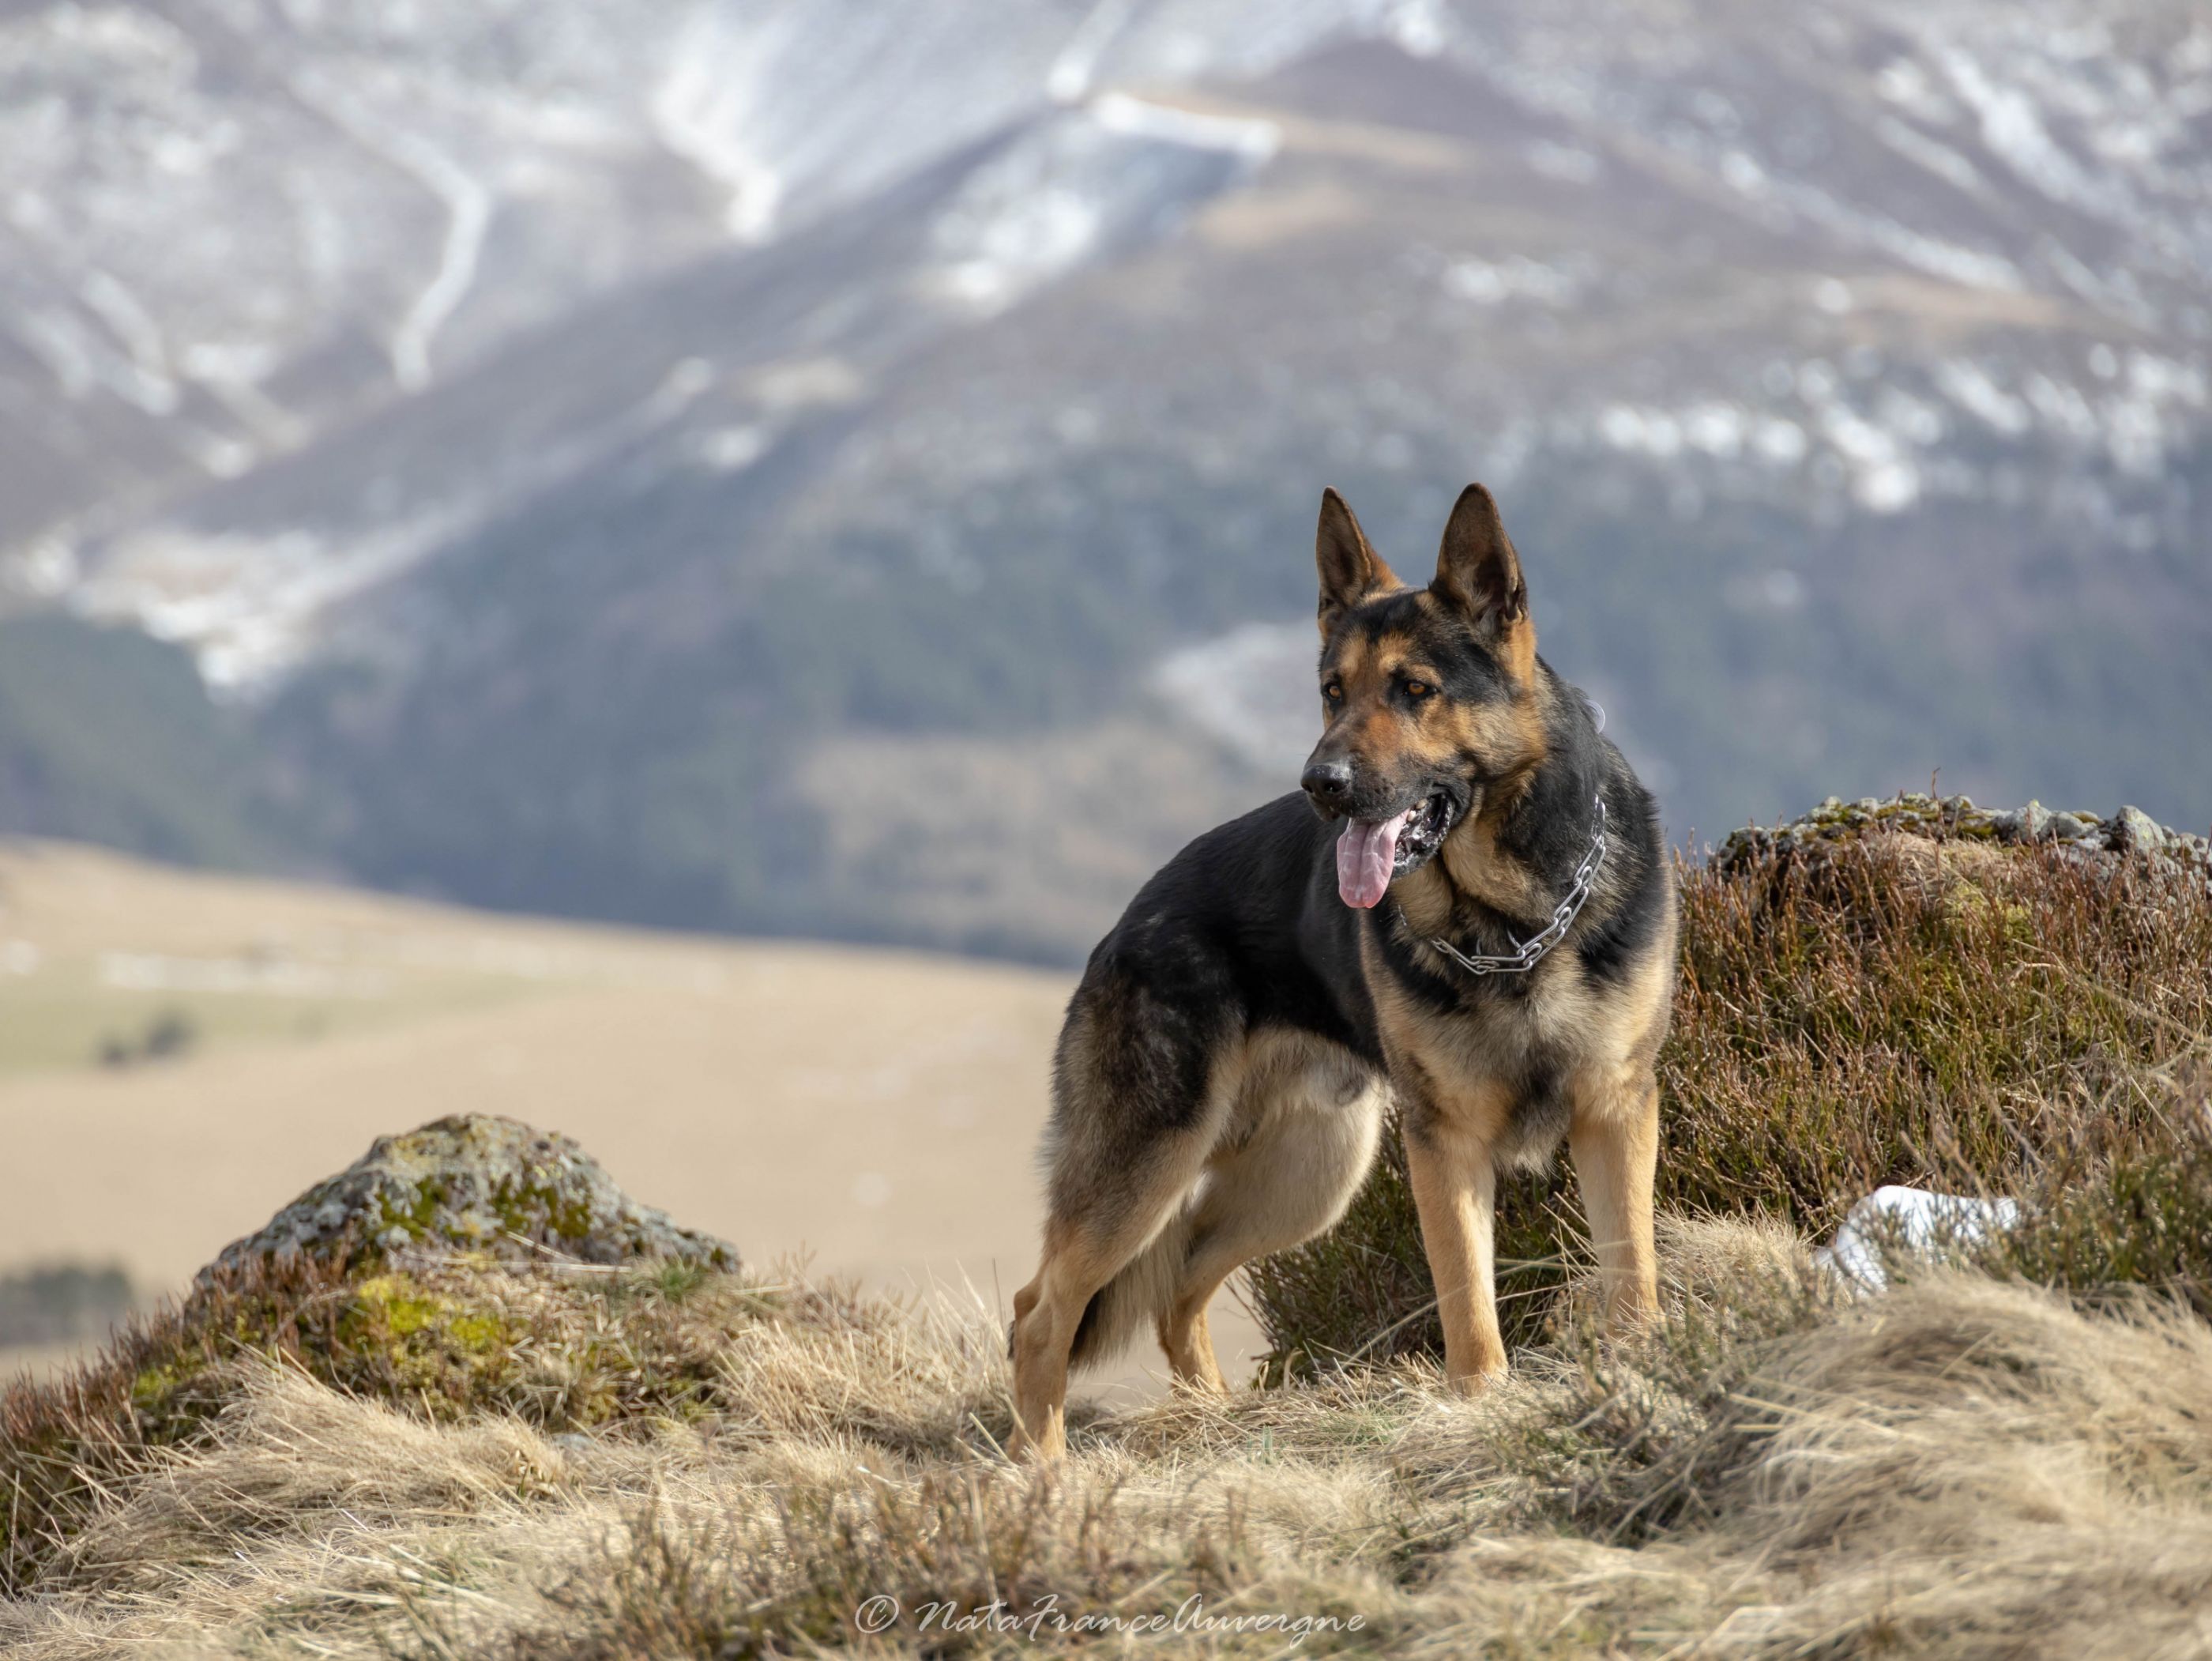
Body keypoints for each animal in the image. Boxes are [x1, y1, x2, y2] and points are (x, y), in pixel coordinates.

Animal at [1008, 477, 1672, 1451]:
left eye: (1414, 689)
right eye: (1331, 691)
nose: (1320, 785)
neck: (1513, 921)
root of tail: (1129, 918)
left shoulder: (1614, 1111)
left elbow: (1633, 1273)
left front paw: (1642, 1378)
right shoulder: (1446, 1143)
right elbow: (1468, 1305)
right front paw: (1480, 1411)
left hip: (1308, 1174)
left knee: (1177, 1282)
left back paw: (1209, 1421)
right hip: (1150, 1163)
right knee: (1041, 1311)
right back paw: (1042, 1467)